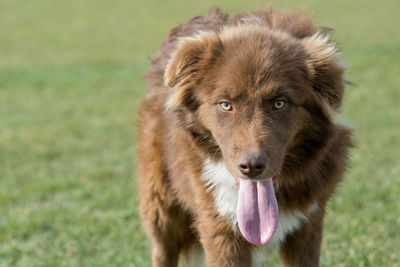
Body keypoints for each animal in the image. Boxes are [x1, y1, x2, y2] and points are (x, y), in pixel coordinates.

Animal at [137, 7, 350, 266]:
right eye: (225, 105)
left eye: (280, 103)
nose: (251, 166)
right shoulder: (219, 225)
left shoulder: (309, 222)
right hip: (160, 202)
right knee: (163, 248)